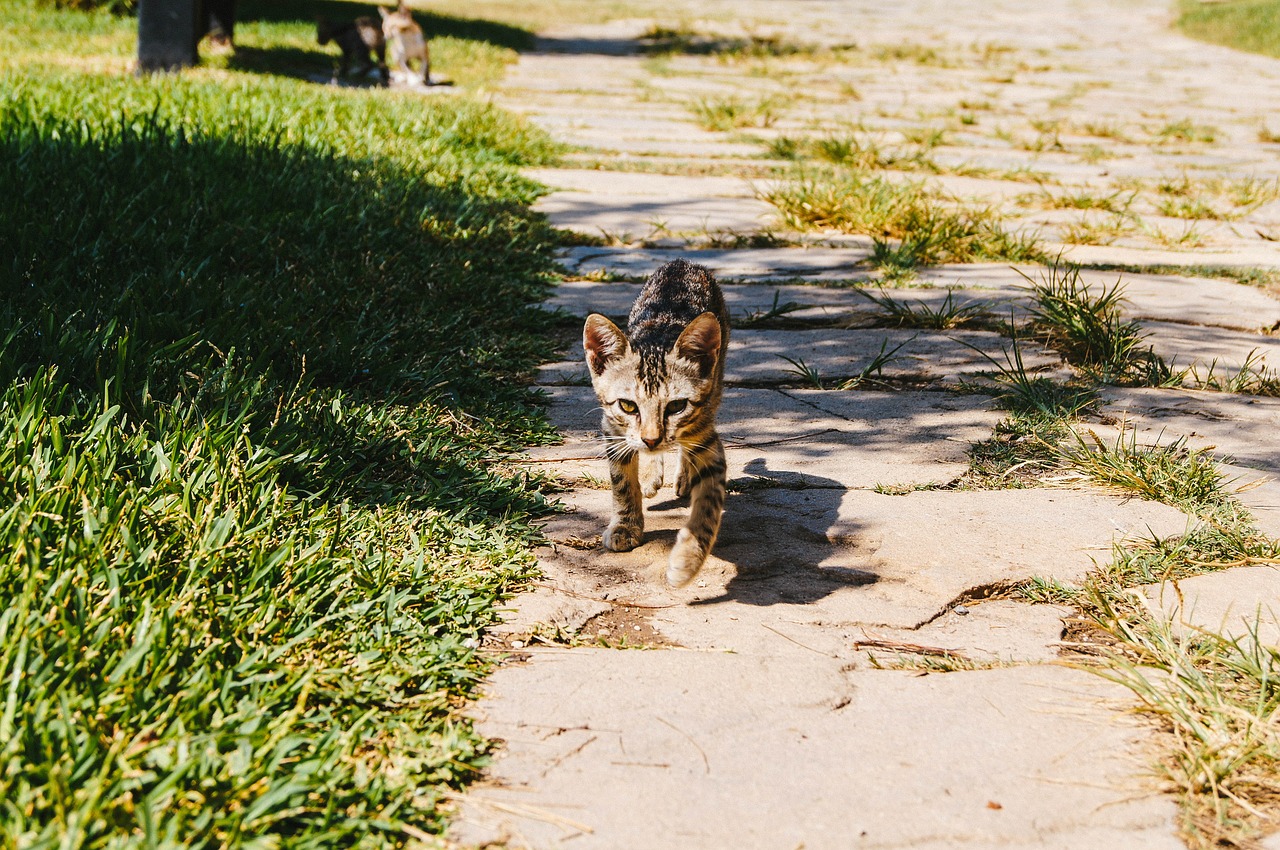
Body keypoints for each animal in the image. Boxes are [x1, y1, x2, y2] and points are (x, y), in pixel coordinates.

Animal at [583, 258, 732, 588]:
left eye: (677, 406)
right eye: (628, 405)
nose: (651, 438)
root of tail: (683, 262)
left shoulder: (707, 438)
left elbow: (708, 504)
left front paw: (688, 558)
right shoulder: (613, 429)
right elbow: (622, 482)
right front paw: (626, 526)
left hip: (716, 385)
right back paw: (652, 473)